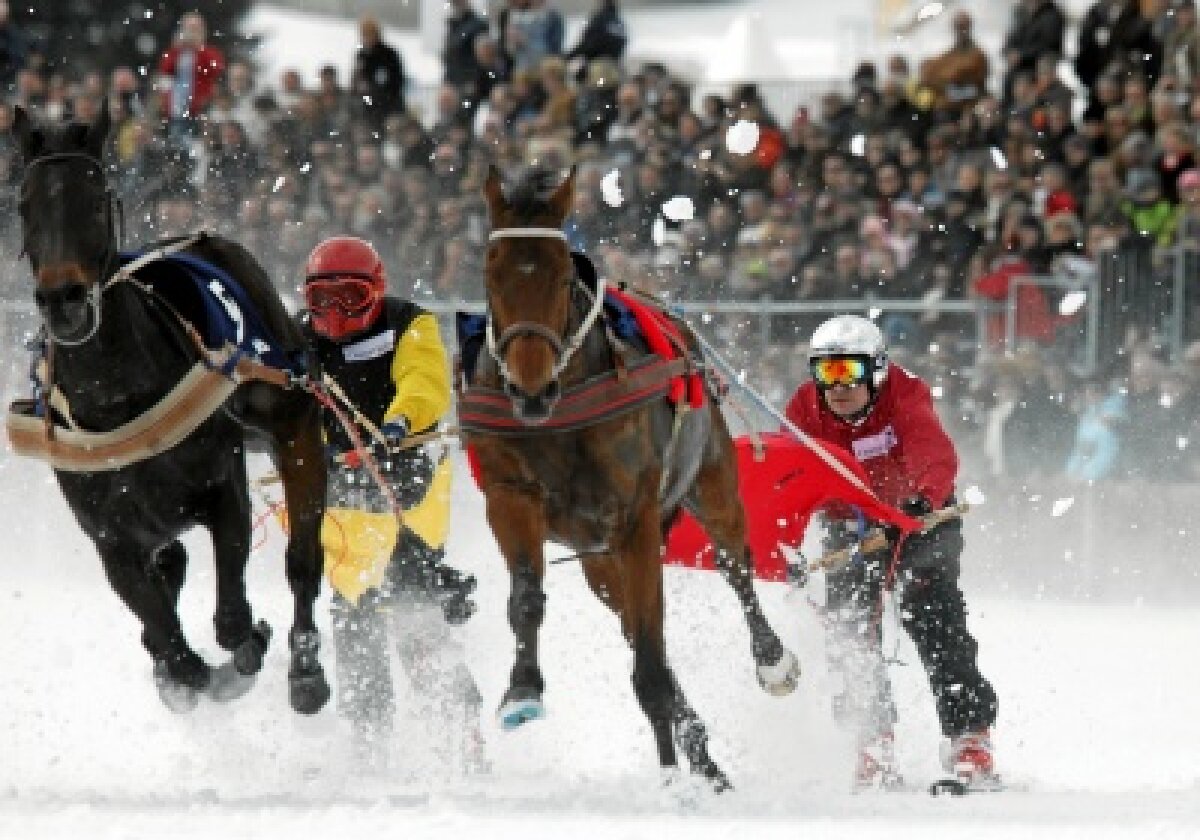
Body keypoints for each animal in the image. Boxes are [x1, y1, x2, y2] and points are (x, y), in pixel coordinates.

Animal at [9, 102, 331, 710]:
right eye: (25, 203)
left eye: (96, 197)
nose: (63, 301)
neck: (117, 401)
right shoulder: (111, 539)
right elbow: (174, 649)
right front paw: (181, 671)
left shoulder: (223, 487)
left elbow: (231, 623)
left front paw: (249, 644)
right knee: (173, 573)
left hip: (288, 407)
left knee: (302, 557)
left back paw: (304, 670)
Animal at [463, 166, 801, 792]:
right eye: (492, 271)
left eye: (560, 274)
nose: (528, 388)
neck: (560, 414)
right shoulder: (511, 495)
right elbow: (528, 597)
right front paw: (522, 688)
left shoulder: (635, 513)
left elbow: (650, 650)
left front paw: (671, 770)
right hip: (598, 557)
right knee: (625, 609)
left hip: (710, 475)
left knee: (734, 563)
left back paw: (770, 661)